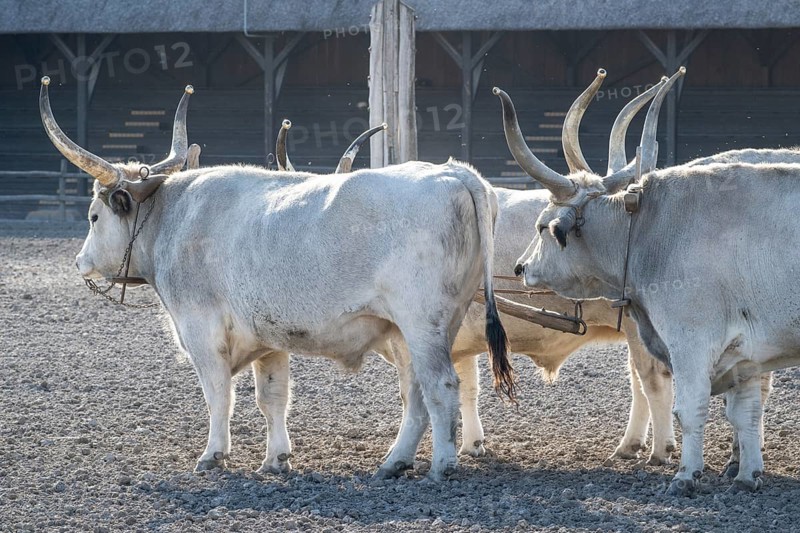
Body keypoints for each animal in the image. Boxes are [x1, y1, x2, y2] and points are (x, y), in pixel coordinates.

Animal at [40, 76, 515, 481]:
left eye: (93, 216)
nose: (80, 261)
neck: (173, 216)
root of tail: (456, 172)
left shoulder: (200, 329)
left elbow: (218, 394)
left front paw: (213, 455)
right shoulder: (268, 338)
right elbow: (272, 398)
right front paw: (275, 459)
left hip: (422, 324)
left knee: (441, 387)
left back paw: (441, 465)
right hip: (426, 327)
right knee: (416, 393)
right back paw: (393, 462)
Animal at [497, 77, 800, 494]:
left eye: (543, 226)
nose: (520, 266)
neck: (649, 228)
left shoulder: (692, 339)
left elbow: (690, 407)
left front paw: (686, 474)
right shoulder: (746, 354)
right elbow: (746, 413)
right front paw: (747, 473)